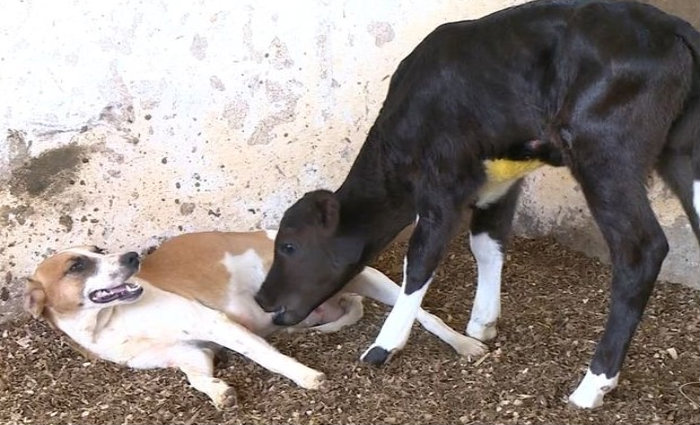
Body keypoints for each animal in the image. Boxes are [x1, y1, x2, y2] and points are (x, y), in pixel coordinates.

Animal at [26, 230, 486, 410]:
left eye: (99, 250)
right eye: (77, 265)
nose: (131, 257)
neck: (110, 323)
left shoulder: (215, 324)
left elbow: (268, 359)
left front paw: (306, 377)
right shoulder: (189, 353)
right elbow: (196, 378)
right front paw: (219, 392)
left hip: (374, 279)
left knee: (423, 315)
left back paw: (465, 343)